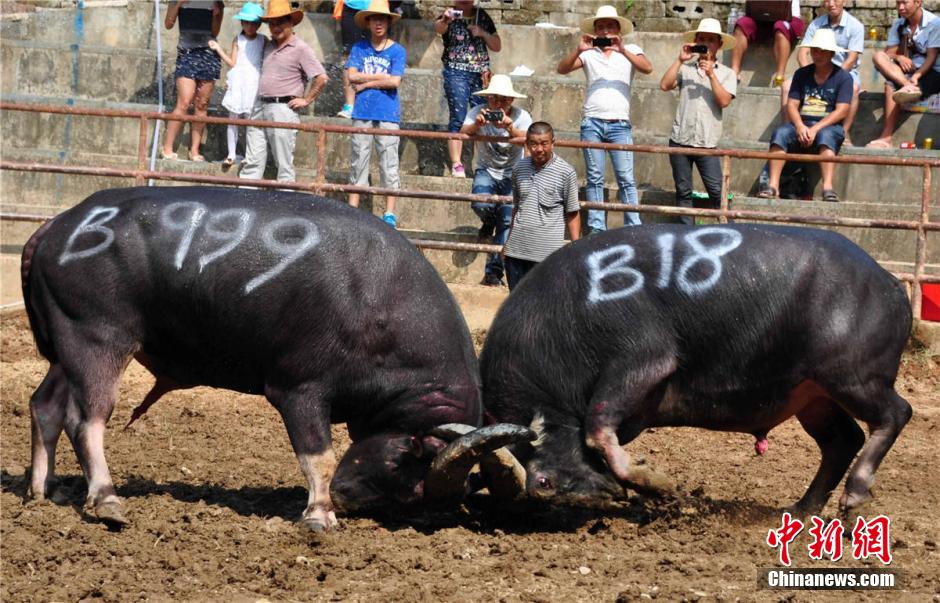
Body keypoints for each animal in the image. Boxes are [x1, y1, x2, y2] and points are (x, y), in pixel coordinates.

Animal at [22, 186, 532, 532]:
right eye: (401, 463)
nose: (347, 499)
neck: (379, 303)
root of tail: (57, 226)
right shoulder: (300, 390)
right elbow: (319, 455)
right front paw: (320, 514)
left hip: (64, 351)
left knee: (45, 406)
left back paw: (41, 490)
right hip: (96, 339)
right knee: (87, 419)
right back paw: (107, 500)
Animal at [478, 224, 912, 516]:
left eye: (544, 480)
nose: (539, 489)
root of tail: (891, 284)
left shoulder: (642, 362)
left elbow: (597, 430)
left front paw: (659, 485)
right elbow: (597, 436)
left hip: (852, 377)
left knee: (895, 414)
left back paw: (853, 497)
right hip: (813, 397)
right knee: (843, 440)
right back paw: (801, 509)